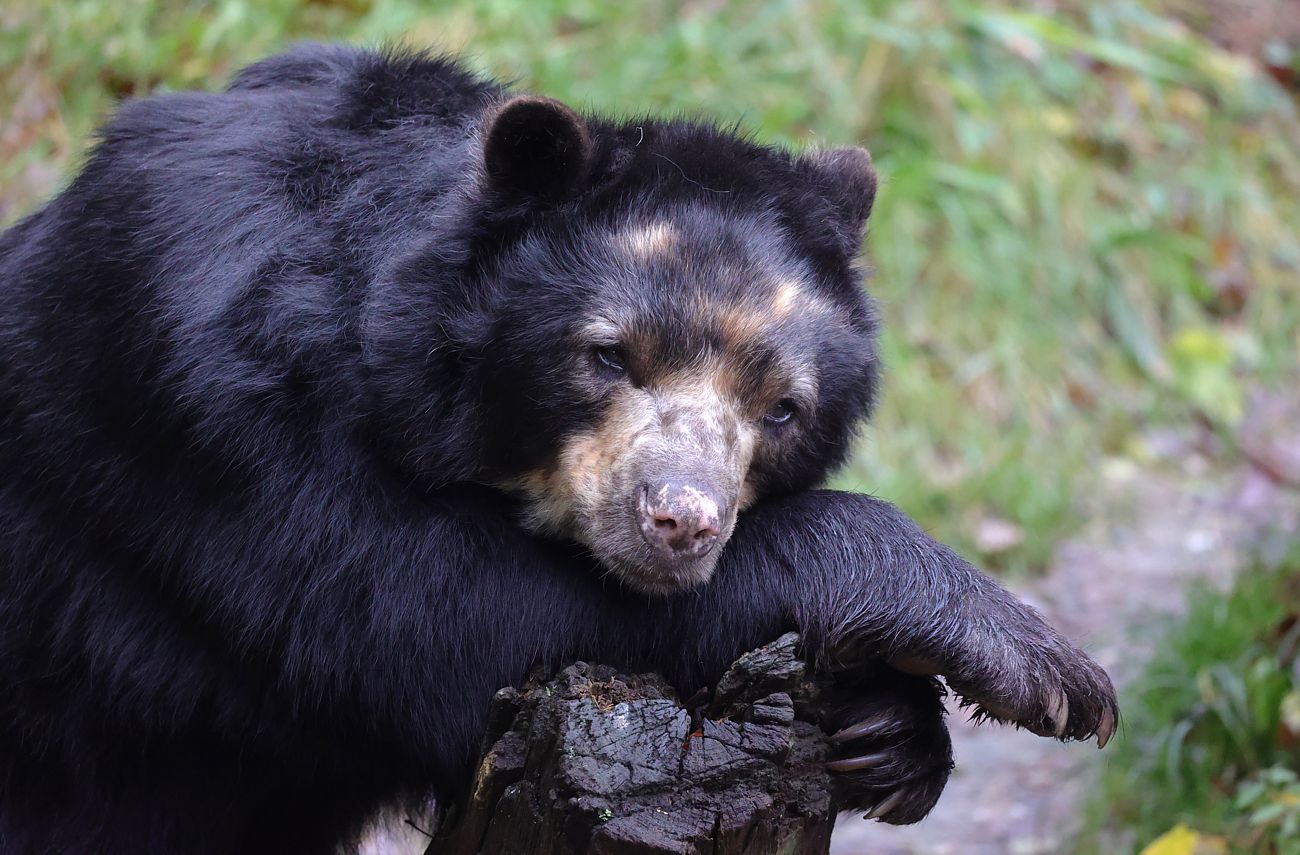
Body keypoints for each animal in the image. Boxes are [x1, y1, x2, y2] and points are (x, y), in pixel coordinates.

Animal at [0, 44, 1118, 852]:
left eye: (783, 408)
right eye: (607, 354)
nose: (679, 521)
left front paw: (884, 733)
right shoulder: (209, 397)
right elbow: (426, 614)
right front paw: (1032, 662)